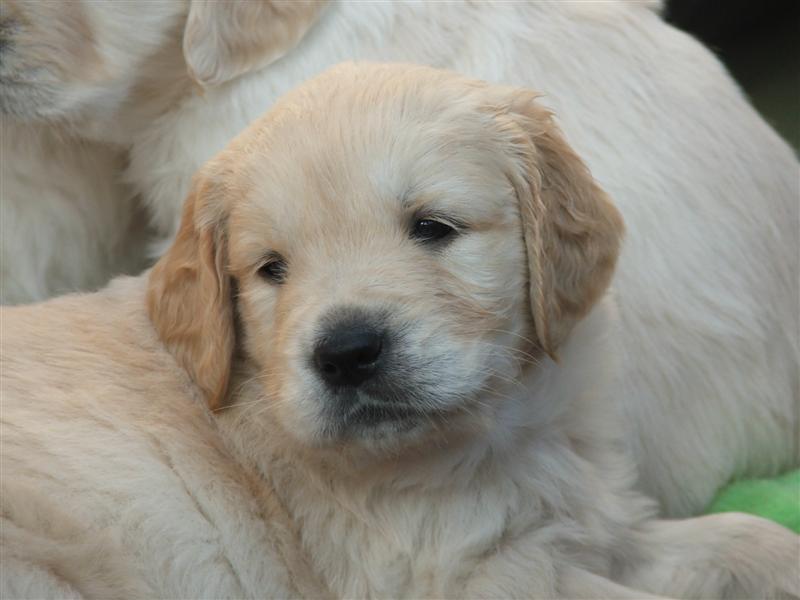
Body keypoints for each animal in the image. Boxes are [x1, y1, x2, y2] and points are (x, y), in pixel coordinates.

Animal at [2, 63, 798, 600]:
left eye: (433, 227)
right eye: (271, 269)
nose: (347, 354)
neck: (496, 436)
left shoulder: (587, 522)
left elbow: (741, 534)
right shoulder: (458, 576)